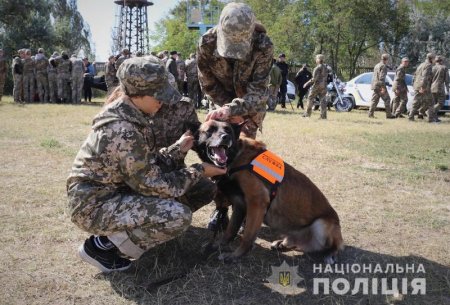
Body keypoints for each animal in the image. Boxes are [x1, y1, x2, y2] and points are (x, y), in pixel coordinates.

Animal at [191, 120, 344, 262]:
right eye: (210, 130)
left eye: (228, 130)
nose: (225, 137)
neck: (235, 157)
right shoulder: (239, 205)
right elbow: (230, 231)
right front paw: (217, 245)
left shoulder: (257, 202)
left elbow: (247, 236)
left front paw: (235, 255)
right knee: (298, 242)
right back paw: (283, 243)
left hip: (321, 225)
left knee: (334, 246)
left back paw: (330, 254)